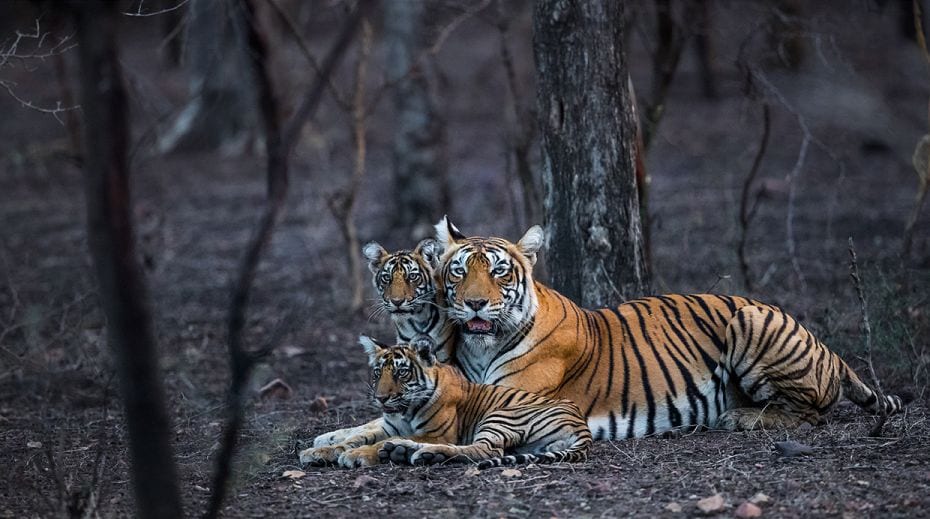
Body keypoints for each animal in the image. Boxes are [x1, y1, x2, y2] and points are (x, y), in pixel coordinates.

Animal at [298, 340, 588, 470]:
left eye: (401, 373)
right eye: (378, 373)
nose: (381, 398)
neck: (405, 411)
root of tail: (582, 426)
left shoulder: (437, 432)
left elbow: (370, 442)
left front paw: (356, 456)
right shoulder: (389, 426)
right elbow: (357, 436)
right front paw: (320, 452)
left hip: (501, 415)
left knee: (486, 450)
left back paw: (418, 452)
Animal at [432, 216, 904, 438]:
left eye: (499, 272)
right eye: (459, 271)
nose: (475, 303)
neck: (481, 347)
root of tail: (827, 348)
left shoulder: (512, 401)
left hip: (750, 319)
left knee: (810, 414)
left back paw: (740, 418)